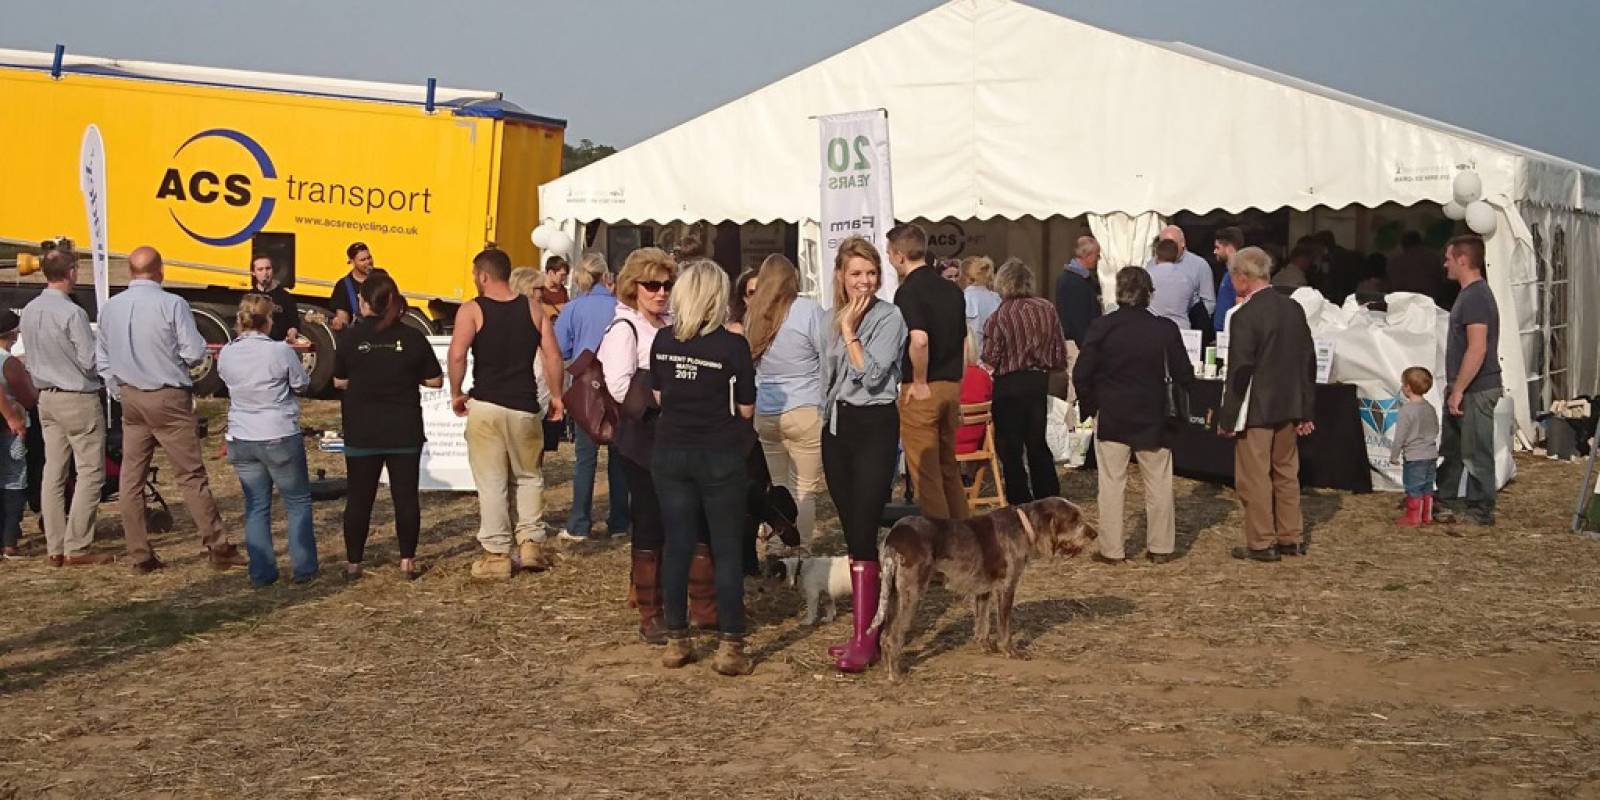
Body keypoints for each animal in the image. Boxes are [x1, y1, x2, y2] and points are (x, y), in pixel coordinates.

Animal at [864, 496, 1100, 678]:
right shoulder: (1006, 587)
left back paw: (886, 669)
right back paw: (897, 675)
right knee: (893, 637)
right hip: (912, 594)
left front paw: (986, 647)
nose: (1094, 533)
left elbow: (982, 623)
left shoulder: (983, 591)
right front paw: (1010, 651)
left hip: (894, 594)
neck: (1023, 526)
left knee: (884, 636)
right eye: (1074, 519)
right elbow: (1004, 627)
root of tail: (894, 537)